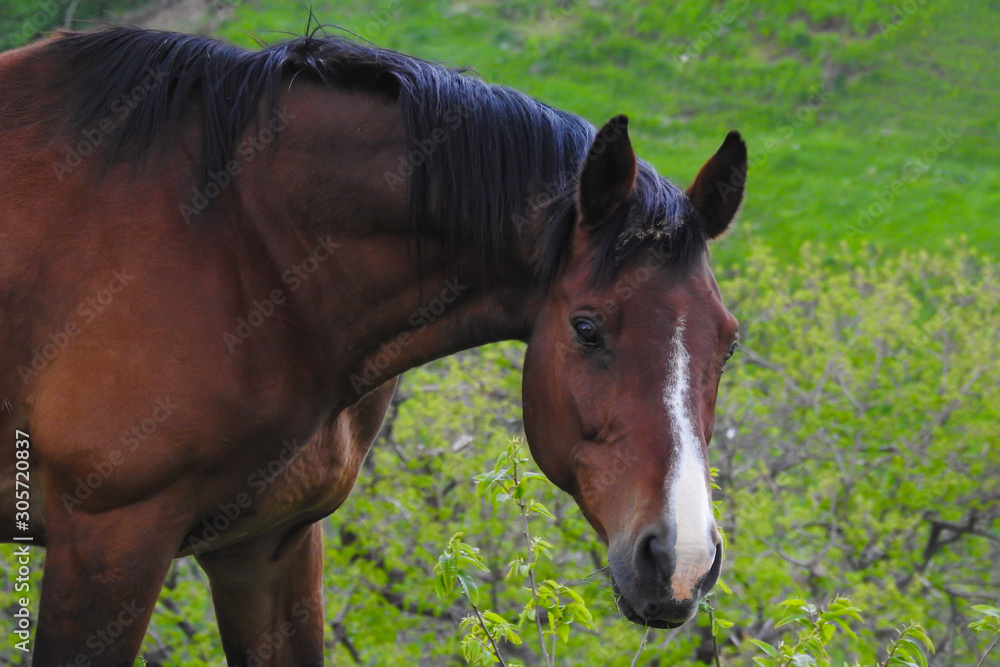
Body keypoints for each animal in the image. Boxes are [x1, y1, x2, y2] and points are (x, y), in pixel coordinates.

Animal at [0, 26, 744, 667]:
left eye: (729, 343)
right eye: (587, 327)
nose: (679, 561)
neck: (236, 242)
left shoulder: (268, 548)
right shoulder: (109, 543)